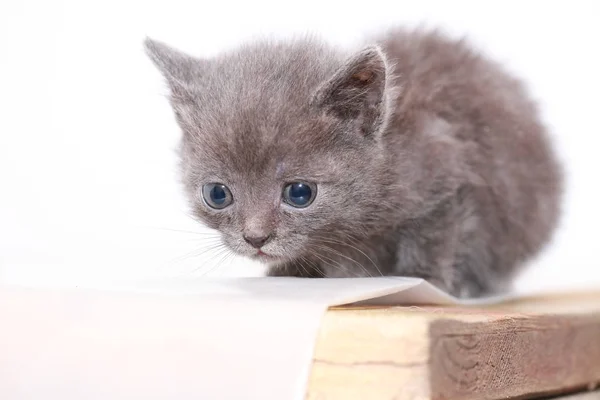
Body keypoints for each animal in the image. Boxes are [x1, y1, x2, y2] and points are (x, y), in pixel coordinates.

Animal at [145, 28, 564, 296]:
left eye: (299, 193)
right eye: (217, 194)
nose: (256, 238)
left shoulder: (446, 169)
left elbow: (434, 232)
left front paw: (425, 278)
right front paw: (293, 270)